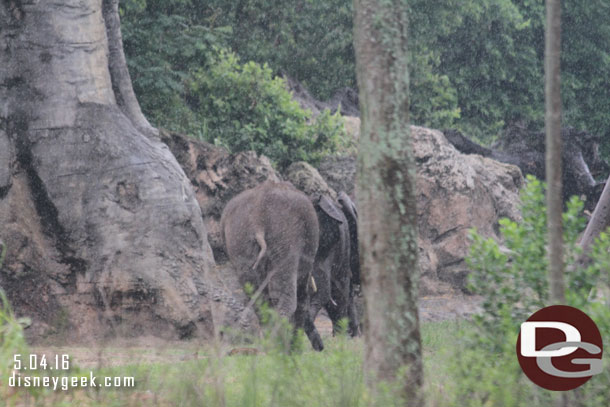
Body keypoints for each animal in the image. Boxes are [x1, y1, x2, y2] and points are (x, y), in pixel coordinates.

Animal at [218, 181, 324, 350]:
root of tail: (257, 218)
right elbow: (302, 296)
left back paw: (269, 345)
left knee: (258, 298)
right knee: (285, 297)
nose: (321, 348)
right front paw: (295, 349)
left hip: (239, 239)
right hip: (285, 236)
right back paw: (279, 347)